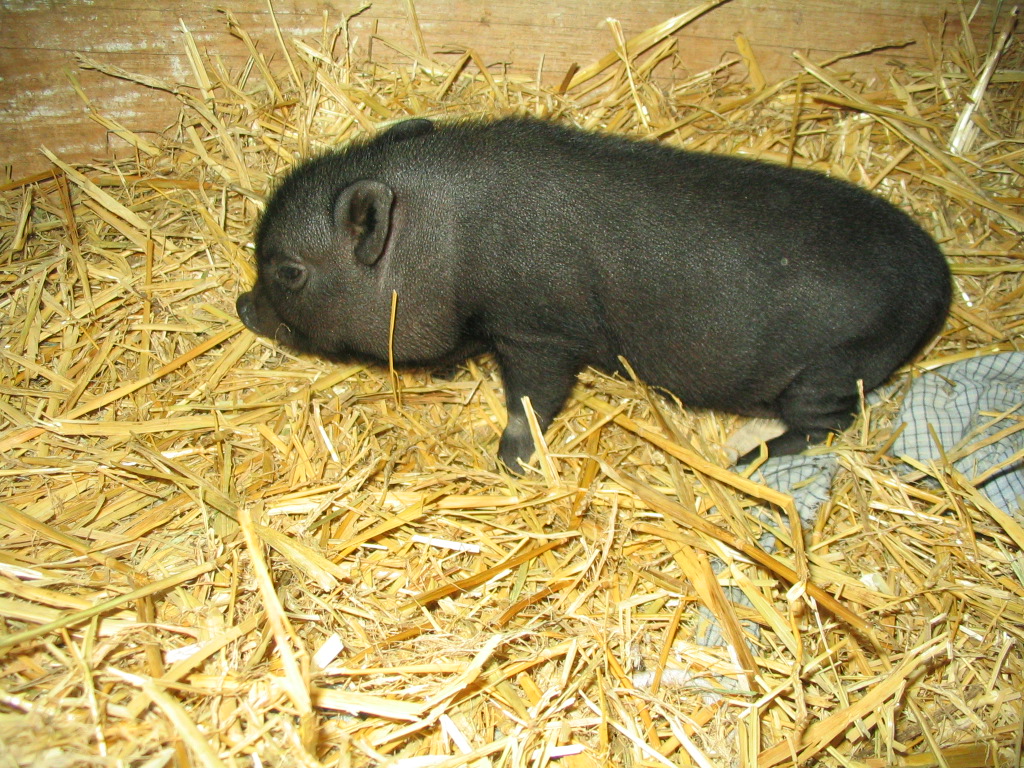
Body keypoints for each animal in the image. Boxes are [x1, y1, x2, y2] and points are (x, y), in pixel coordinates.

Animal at [236, 116, 951, 471]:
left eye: (289, 271)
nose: (243, 306)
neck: (445, 242)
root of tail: (938, 283)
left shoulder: (540, 330)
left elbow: (532, 399)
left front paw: (509, 464)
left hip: (834, 368)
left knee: (827, 426)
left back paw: (746, 460)